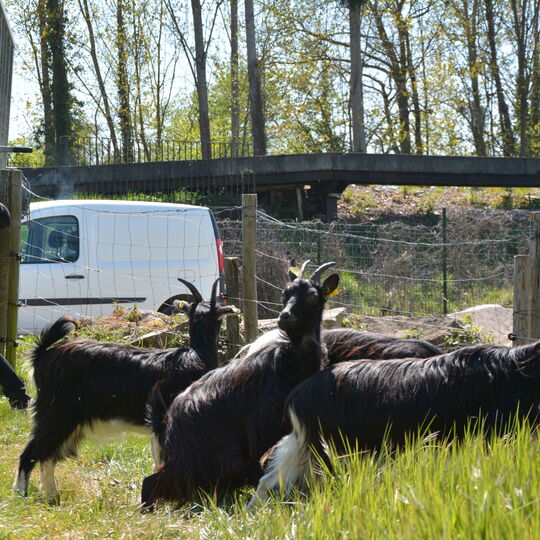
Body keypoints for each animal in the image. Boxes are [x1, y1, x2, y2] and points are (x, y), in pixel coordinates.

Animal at [11, 278, 236, 502]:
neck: (197, 355)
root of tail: (42, 356)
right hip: (57, 413)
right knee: (31, 453)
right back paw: (21, 494)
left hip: (66, 420)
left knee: (47, 455)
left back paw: (52, 497)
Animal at [141, 260, 340, 508]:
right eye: (285, 294)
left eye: (313, 296)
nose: (284, 317)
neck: (290, 362)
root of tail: (168, 421)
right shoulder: (262, 429)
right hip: (195, 460)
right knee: (151, 482)